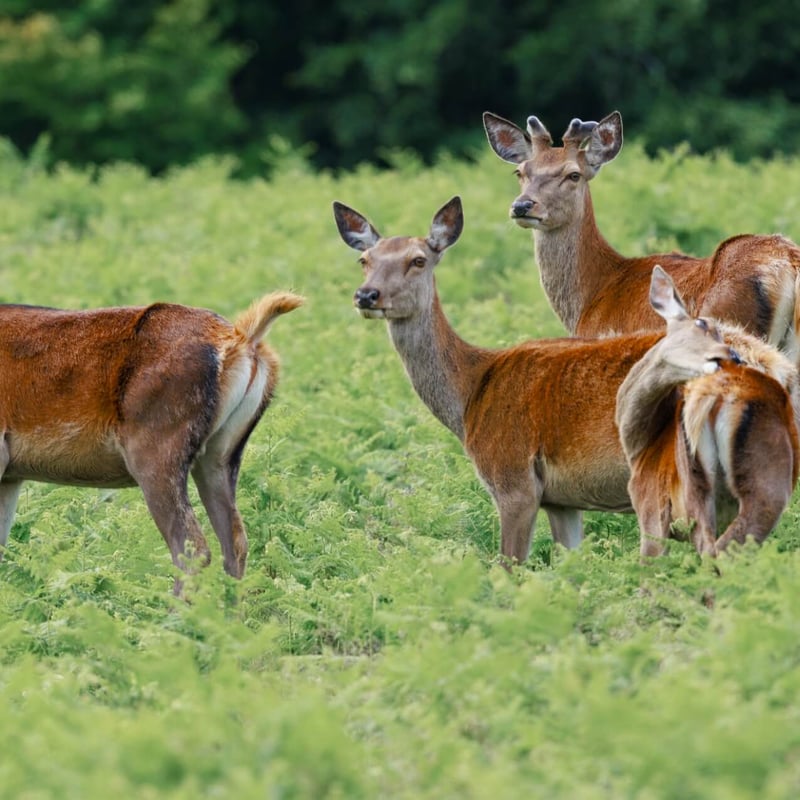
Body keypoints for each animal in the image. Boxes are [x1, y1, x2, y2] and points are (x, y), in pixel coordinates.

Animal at [0, 291, 304, 592]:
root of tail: (243, 339)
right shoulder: (11, 476)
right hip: (221, 455)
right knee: (236, 541)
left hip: (155, 447)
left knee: (192, 546)